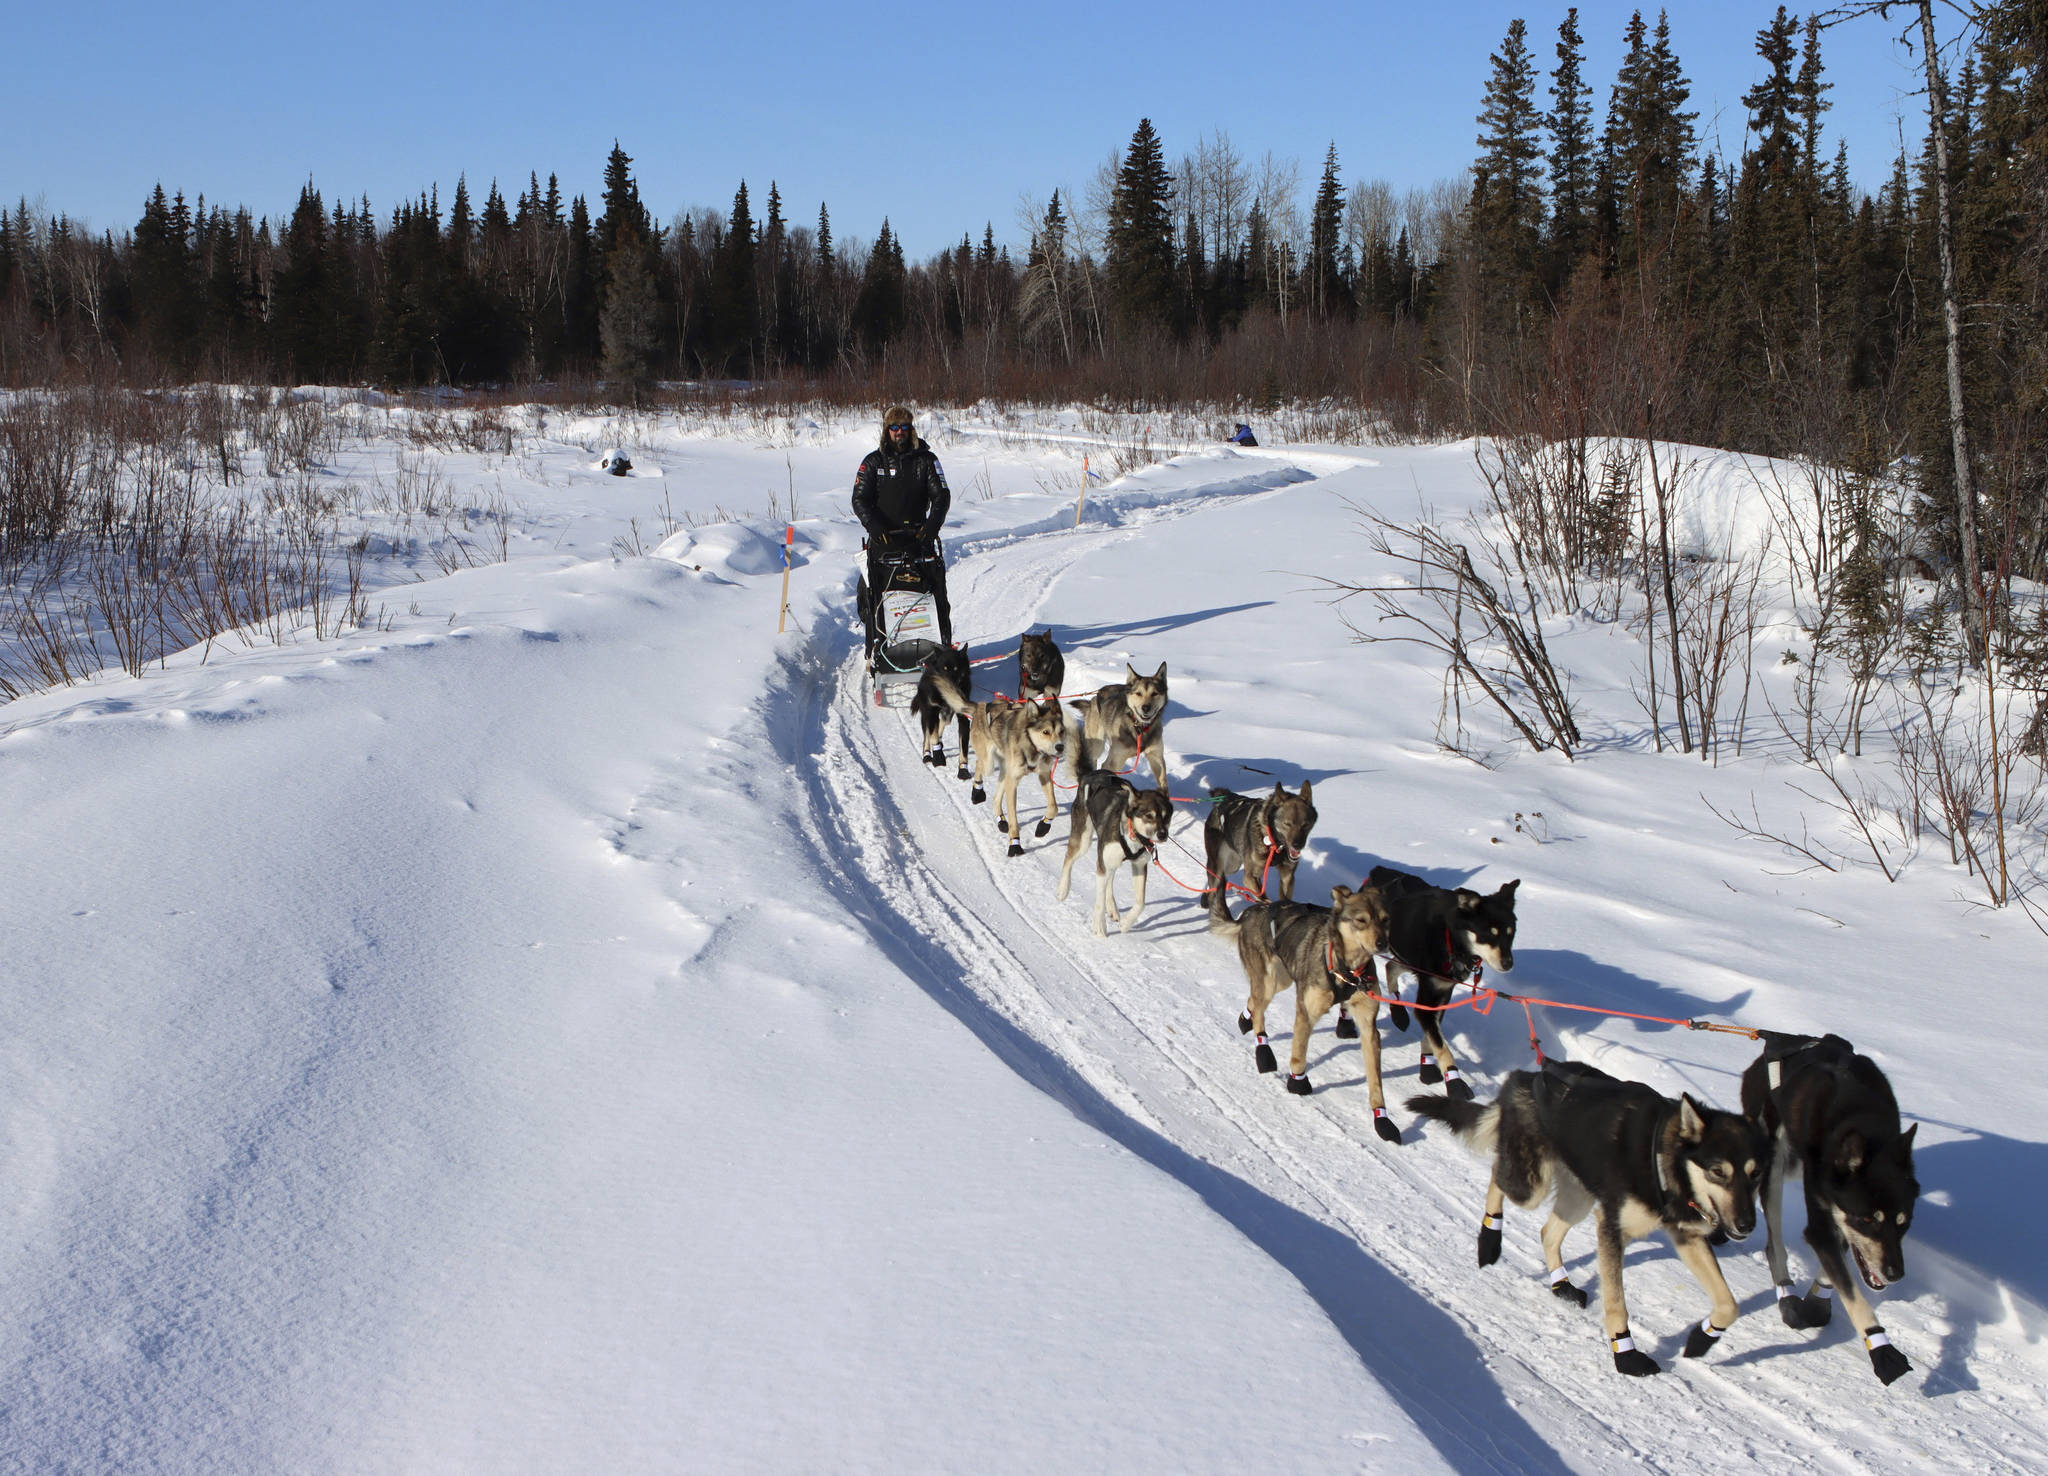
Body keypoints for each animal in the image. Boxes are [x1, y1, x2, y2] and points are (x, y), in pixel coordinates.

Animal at [913, 646, 974, 782]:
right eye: (945, 668)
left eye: (956, 668)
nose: (950, 684)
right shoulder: (931, 711)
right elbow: (933, 736)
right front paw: (938, 757)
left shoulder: (962, 716)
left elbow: (964, 748)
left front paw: (963, 770)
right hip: (926, 713)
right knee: (927, 734)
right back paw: (927, 754)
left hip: (948, 714)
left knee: (943, 722)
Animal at [1196, 777, 1318, 917]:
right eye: (1287, 824)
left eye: (1305, 824)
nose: (1298, 845)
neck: (1275, 844)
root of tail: (1224, 799)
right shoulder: (1250, 877)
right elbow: (1265, 899)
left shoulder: (1287, 876)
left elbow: (1285, 898)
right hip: (1220, 861)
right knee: (1214, 877)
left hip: (1233, 865)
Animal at [1368, 863, 1515, 1097]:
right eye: (1489, 934)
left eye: (1510, 934)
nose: (1508, 963)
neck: (1450, 939)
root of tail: (1381, 870)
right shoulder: (1429, 993)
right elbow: (1442, 1046)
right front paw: (1454, 1081)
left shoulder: (1443, 990)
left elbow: (1432, 1036)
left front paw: (1427, 1067)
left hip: (1408, 960)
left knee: (1391, 967)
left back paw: (1399, 1012)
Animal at [1417, 1056, 1769, 1375]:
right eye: (1718, 1172)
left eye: (1755, 1174)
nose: (1747, 1225)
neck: (1661, 1158)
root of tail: (1528, 1075)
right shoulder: (1612, 1228)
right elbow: (1616, 1304)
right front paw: (1626, 1355)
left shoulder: (1688, 1237)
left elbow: (1730, 1304)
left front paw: (1702, 1338)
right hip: (1532, 1186)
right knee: (1497, 1175)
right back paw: (1489, 1240)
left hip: (1578, 1199)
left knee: (1548, 1232)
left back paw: (1562, 1286)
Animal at [1744, 1031, 1916, 1383]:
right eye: (1868, 1219)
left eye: (1903, 1222)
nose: (1895, 1274)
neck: (1862, 1118)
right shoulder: (1822, 1223)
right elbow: (1854, 1294)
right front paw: (1881, 1347)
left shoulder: (1838, 1218)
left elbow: (1837, 1266)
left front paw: (1817, 1300)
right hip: (1774, 1159)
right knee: (1774, 1243)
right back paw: (1787, 1294)